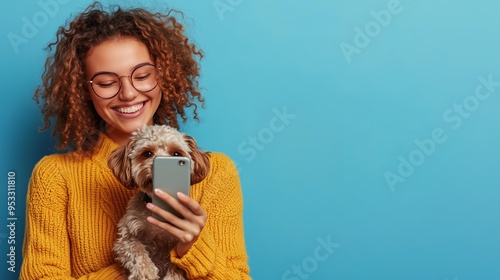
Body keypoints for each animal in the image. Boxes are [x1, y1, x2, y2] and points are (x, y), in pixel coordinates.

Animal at [108, 125, 210, 280]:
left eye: (176, 153)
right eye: (147, 153)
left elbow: (176, 266)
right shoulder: (126, 236)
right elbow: (137, 251)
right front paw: (146, 273)